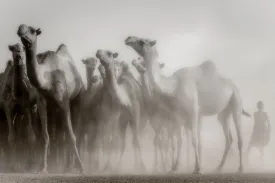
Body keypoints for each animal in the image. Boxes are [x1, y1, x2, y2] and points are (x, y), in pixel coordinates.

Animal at [17, 24, 84, 173]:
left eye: (32, 30)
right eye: (21, 29)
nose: (20, 29)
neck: (47, 81)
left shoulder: (64, 102)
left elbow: (71, 135)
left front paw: (82, 167)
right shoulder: (42, 102)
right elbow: (45, 136)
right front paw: (43, 168)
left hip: (77, 100)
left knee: (73, 131)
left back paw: (72, 166)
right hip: (54, 108)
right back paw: (66, 166)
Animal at [127, 36, 252, 174]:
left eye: (142, 41)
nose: (128, 39)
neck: (174, 86)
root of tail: (233, 85)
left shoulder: (193, 111)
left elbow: (194, 140)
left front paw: (197, 168)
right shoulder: (177, 115)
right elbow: (179, 141)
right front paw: (174, 167)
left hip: (236, 101)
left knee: (239, 135)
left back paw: (240, 168)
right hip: (224, 112)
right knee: (228, 136)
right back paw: (218, 167)